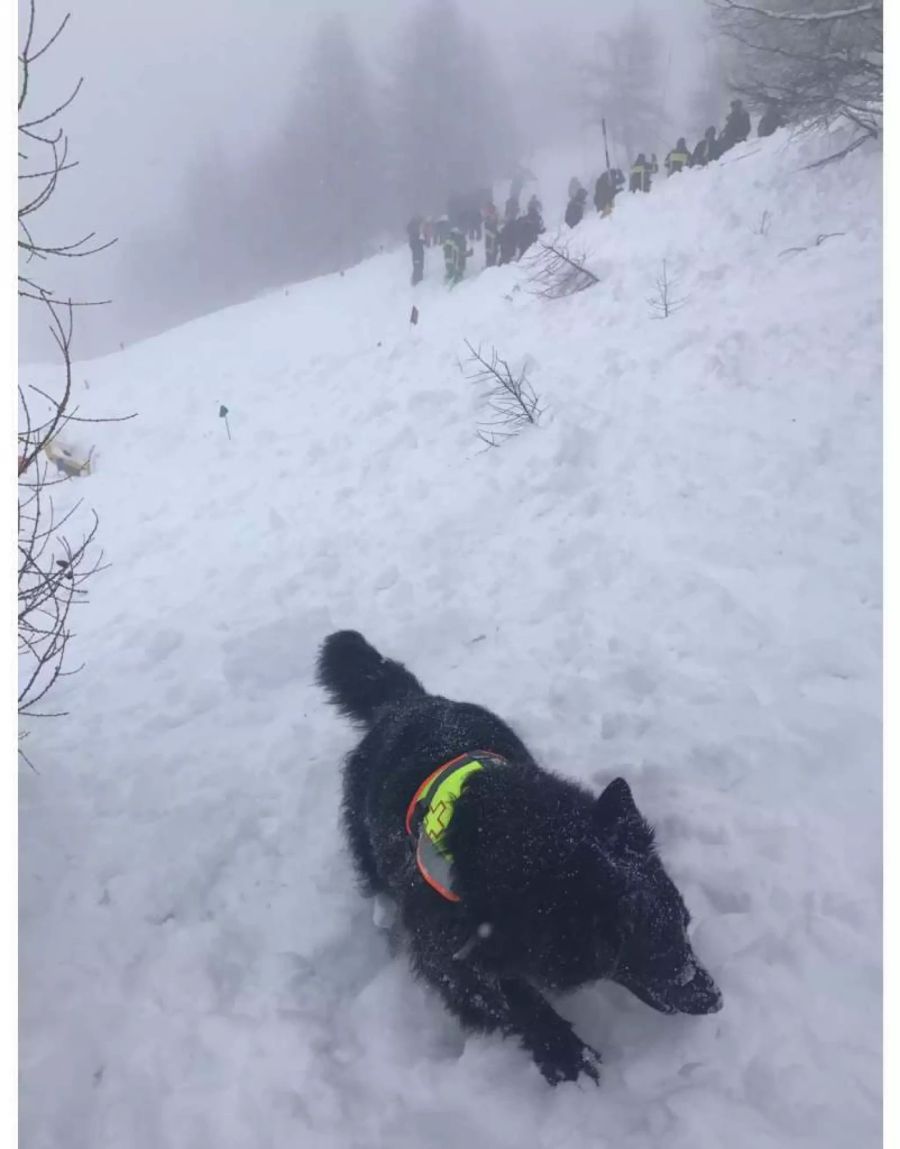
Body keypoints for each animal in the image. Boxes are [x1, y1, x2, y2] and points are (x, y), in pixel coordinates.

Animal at [317, 629, 726, 1084]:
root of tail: (410, 701)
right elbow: (513, 996)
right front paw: (564, 1053)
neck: (525, 846)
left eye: (685, 924)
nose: (715, 998)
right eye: (648, 948)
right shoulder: (443, 947)